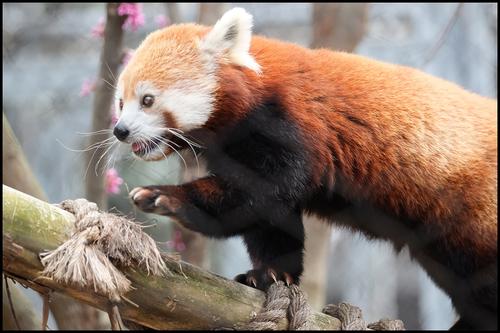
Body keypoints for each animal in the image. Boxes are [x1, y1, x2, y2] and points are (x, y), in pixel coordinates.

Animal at [113, 7, 496, 330]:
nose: (120, 130)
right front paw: (270, 274)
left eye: (148, 100)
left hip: (474, 213)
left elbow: (262, 194)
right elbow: (271, 219)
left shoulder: (288, 125)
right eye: (120, 102)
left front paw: (167, 198)